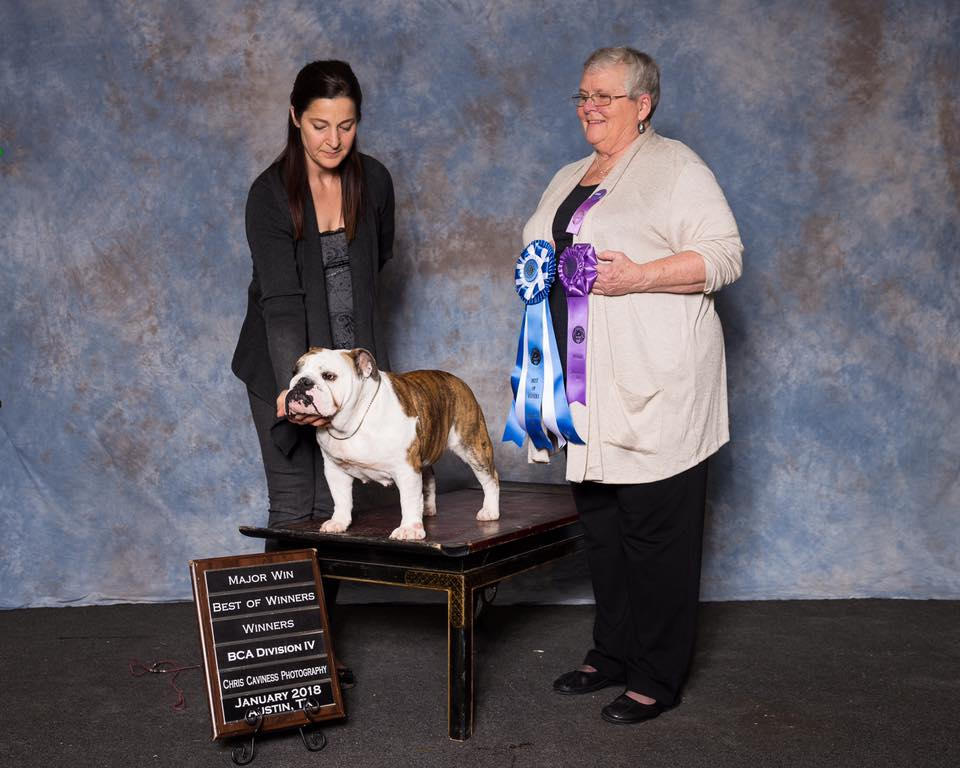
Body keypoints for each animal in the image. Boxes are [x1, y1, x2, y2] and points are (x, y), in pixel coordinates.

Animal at [285, 347, 500, 541]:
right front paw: (339, 522)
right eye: (294, 372)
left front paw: (409, 529)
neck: (353, 420)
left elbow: (408, 500)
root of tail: (455, 379)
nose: (302, 382)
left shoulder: (406, 468)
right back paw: (427, 508)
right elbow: (341, 498)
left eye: (329, 376)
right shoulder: (335, 469)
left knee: (490, 478)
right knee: (428, 477)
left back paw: (490, 511)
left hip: (472, 445)